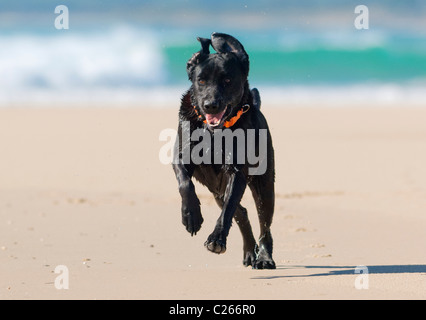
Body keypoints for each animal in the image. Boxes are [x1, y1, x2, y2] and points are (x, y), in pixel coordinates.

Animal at [173, 32, 276, 268]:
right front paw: (191, 216)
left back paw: (264, 257)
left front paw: (216, 240)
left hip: (264, 185)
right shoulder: (181, 156)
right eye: (201, 80)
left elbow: (229, 209)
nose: (210, 105)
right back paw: (249, 252)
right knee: (242, 213)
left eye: (227, 81)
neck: (214, 133)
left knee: (263, 224)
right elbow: (185, 184)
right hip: (217, 189)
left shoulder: (237, 172)